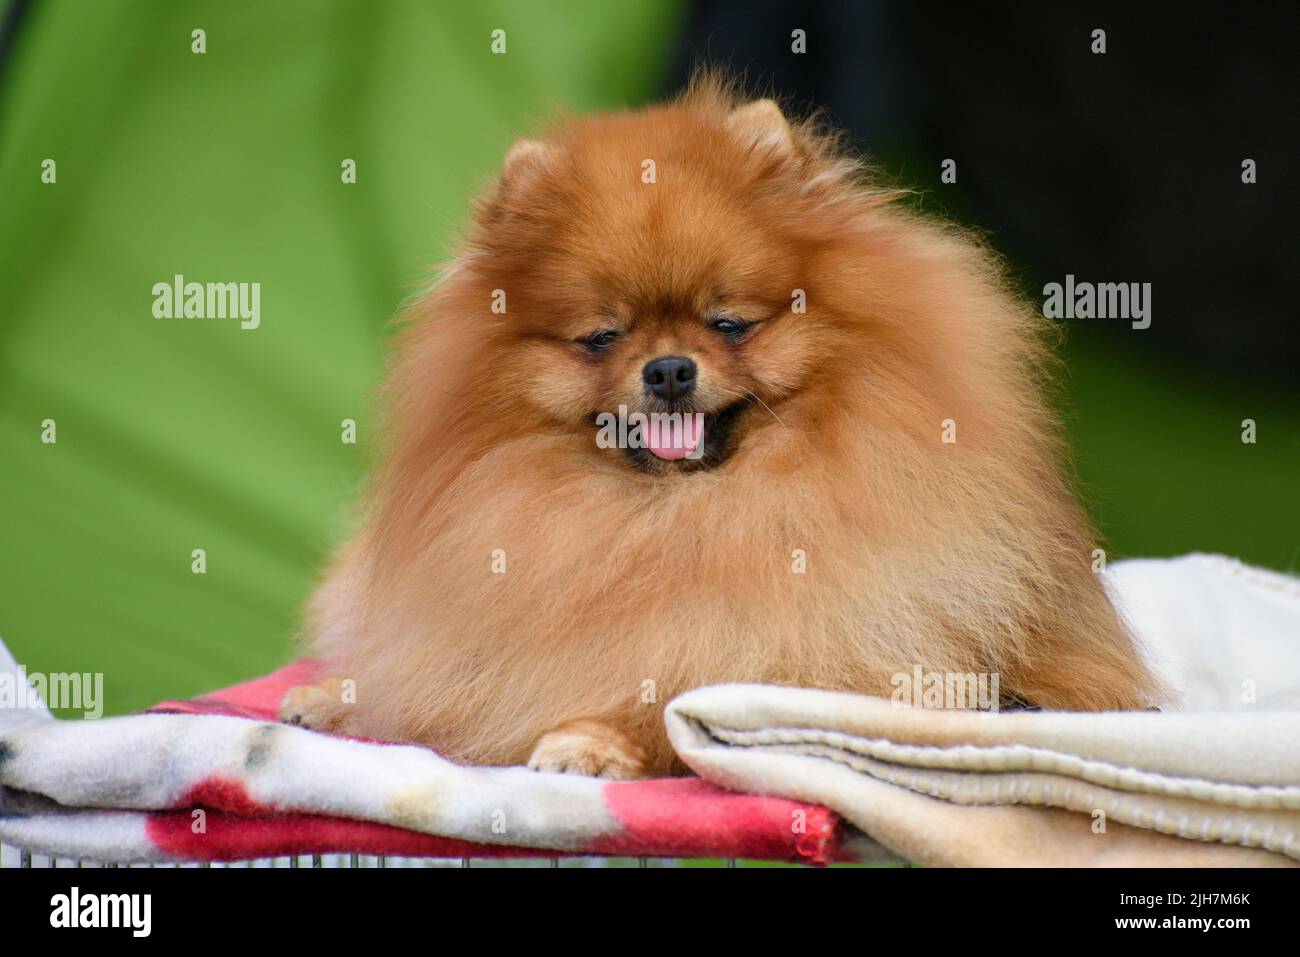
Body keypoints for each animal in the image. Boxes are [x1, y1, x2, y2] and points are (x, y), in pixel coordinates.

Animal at [282, 76, 1159, 780]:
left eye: (729, 322)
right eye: (602, 336)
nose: (668, 369)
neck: (675, 517)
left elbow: (677, 701)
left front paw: (591, 740)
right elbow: (440, 674)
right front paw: (343, 694)